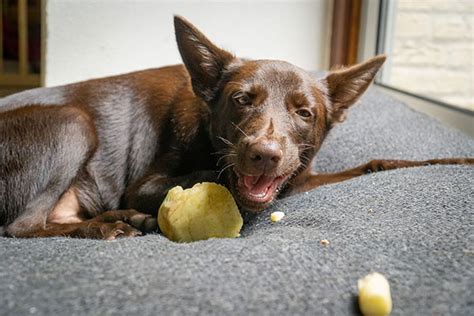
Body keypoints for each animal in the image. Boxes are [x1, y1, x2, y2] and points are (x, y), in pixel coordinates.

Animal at [0, 16, 470, 238]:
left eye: (305, 113)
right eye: (242, 99)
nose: (264, 156)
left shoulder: (302, 175)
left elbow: (372, 164)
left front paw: (450, 160)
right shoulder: (145, 183)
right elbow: (213, 176)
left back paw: (127, 218)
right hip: (72, 123)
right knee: (21, 226)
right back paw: (108, 225)